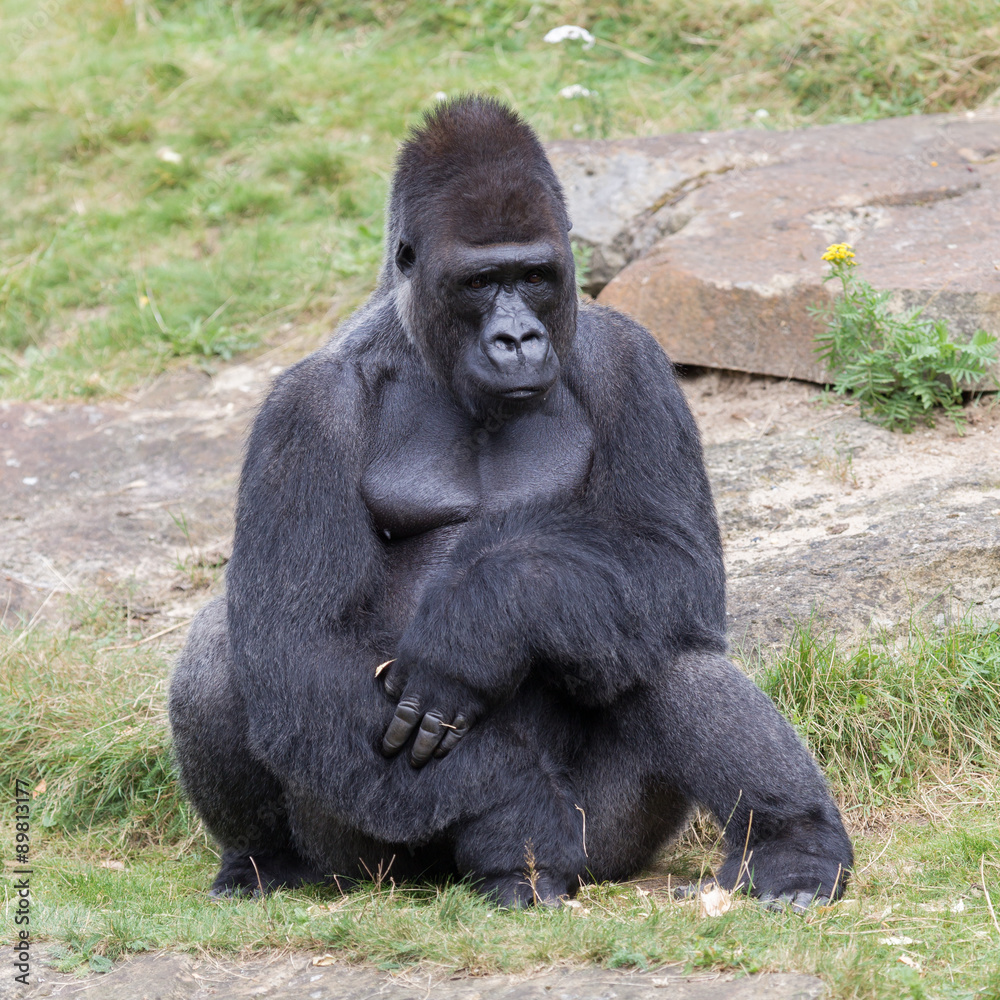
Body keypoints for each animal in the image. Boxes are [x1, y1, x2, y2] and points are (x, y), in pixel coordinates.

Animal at [170, 97, 852, 912]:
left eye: (533, 277)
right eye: (480, 281)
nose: (518, 337)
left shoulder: (631, 359)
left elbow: (672, 558)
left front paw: (477, 622)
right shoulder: (305, 411)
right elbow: (297, 639)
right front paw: (514, 814)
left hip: (608, 842)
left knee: (655, 631)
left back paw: (794, 846)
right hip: (367, 859)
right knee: (223, 650)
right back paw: (269, 861)